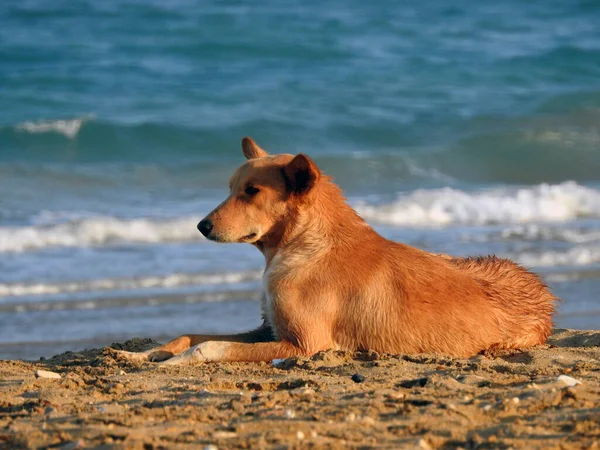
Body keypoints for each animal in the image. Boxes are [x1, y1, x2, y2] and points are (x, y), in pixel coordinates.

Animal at [117, 137, 556, 366]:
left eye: (252, 192)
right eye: (230, 188)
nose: (201, 226)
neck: (305, 247)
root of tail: (545, 296)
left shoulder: (305, 345)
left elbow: (207, 346)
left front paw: (173, 361)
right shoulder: (267, 329)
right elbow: (189, 335)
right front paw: (147, 354)